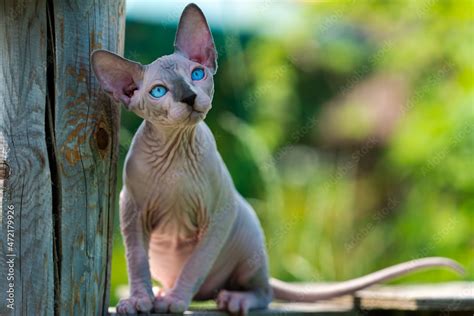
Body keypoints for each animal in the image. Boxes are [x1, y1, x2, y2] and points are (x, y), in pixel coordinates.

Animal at [90, 3, 464, 316]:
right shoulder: (131, 209)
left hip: (247, 235)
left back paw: (234, 299)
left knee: (263, 291)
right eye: (158, 91)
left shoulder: (220, 213)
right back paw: (160, 290)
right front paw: (139, 300)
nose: (189, 96)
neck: (175, 153)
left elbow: (195, 264)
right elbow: (136, 259)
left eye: (197, 74)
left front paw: (175, 301)